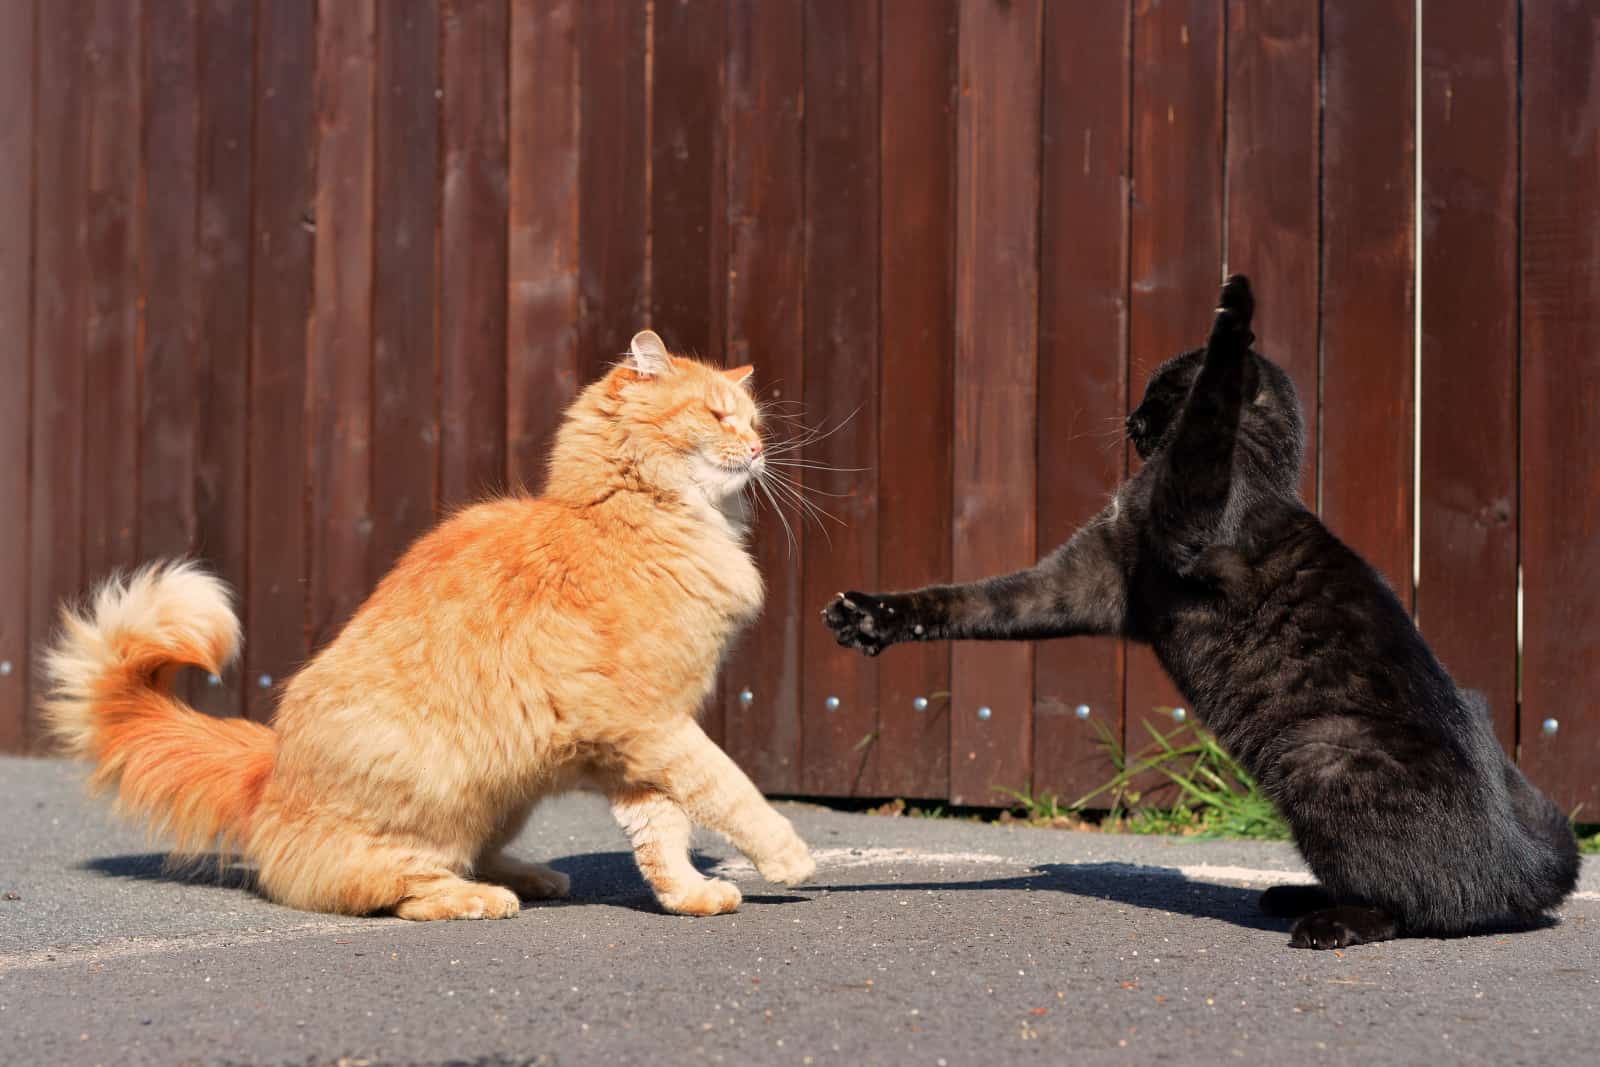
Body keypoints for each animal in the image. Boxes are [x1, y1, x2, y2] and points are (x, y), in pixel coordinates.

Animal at [40, 331, 812, 921]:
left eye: (753, 422)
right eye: (718, 415)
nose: (759, 451)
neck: (627, 522)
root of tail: (270, 770)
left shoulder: (636, 745)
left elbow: (664, 831)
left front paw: (688, 895)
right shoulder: (654, 725)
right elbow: (730, 789)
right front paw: (788, 856)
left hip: (511, 792)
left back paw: (530, 875)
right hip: (441, 792)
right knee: (382, 885)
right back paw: (479, 897)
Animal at [825, 275, 1574, 953]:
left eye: (1161, 393)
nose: (1131, 417)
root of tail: (1522, 869)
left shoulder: (1193, 513)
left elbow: (1209, 419)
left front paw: (1233, 315)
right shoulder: (1076, 582)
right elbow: (966, 600)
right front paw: (869, 617)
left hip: (1321, 754)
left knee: (1416, 905)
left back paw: (1329, 922)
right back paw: (1295, 893)